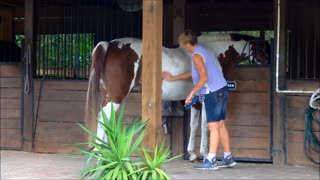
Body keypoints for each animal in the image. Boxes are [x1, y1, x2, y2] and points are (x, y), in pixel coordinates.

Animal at [84, 33, 270, 162]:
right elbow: (205, 126)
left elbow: (194, 125)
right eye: (261, 48)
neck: (211, 52)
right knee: (104, 118)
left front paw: (192, 154)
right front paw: (204, 154)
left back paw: (106, 154)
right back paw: (101, 154)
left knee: (105, 119)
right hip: (116, 96)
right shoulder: (205, 100)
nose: (269, 62)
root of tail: (110, 45)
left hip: (109, 95)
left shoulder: (195, 101)